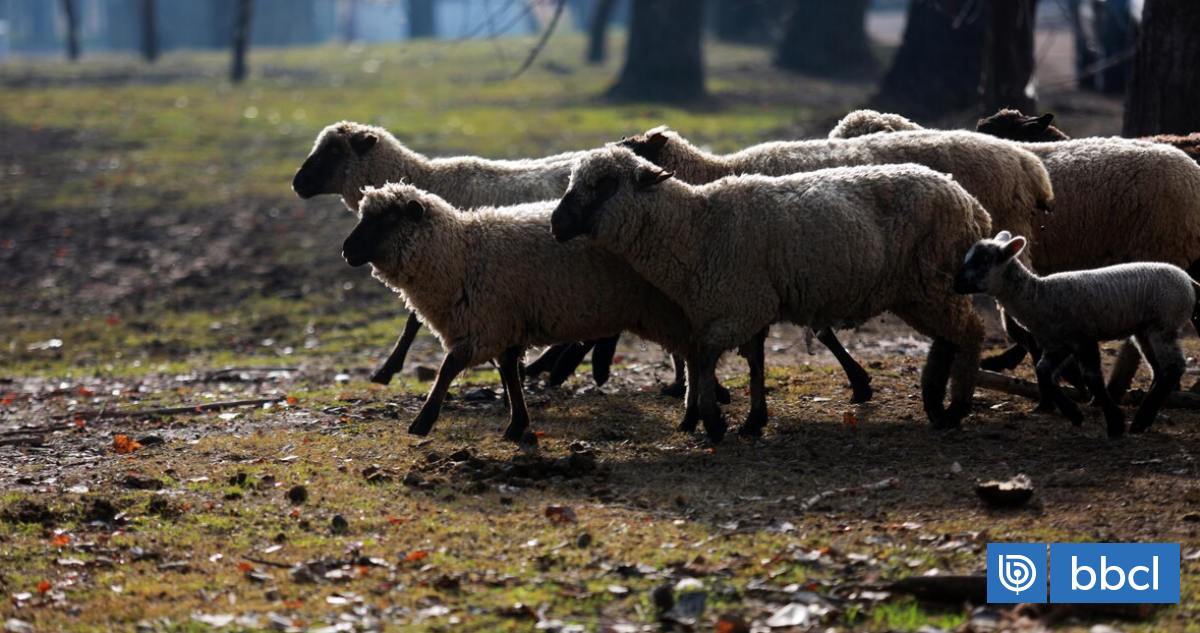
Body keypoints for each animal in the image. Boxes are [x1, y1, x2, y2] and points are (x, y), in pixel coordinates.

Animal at [292, 120, 619, 390]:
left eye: (334, 151)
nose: (297, 183)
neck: (426, 181)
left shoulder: (446, 265)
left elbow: (413, 321)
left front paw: (386, 370)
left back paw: (570, 367)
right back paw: (568, 368)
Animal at [340, 182, 701, 442]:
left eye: (387, 219)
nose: (346, 250)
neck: (459, 255)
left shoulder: (485, 324)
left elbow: (449, 367)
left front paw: (422, 421)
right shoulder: (504, 324)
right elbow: (509, 371)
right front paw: (517, 423)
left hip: (670, 308)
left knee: (694, 356)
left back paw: (690, 412)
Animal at [551, 147, 991, 436]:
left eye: (604, 185)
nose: (556, 224)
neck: (694, 228)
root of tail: (970, 202)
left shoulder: (742, 305)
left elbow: (707, 357)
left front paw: (713, 420)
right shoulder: (741, 306)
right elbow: (750, 362)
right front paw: (747, 420)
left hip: (931, 281)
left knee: (970, 333)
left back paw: (955, 407)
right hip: (921, 290)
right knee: (948, 337)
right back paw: (935, 402)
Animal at [954, 231, 1200, 437]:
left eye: (983, 261)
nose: (956, 283)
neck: (1038, 296)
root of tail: (1187, 279)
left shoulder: (1083, 337)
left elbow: (1093, 379)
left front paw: (1114, 423)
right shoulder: (1058, 344)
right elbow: (1043, 371)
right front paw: (1073, 413)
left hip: (1164, 323)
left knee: (1174, 366)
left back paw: (1140, 420)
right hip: (1144, 330)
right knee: (1159, 369)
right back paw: (1145, 418)